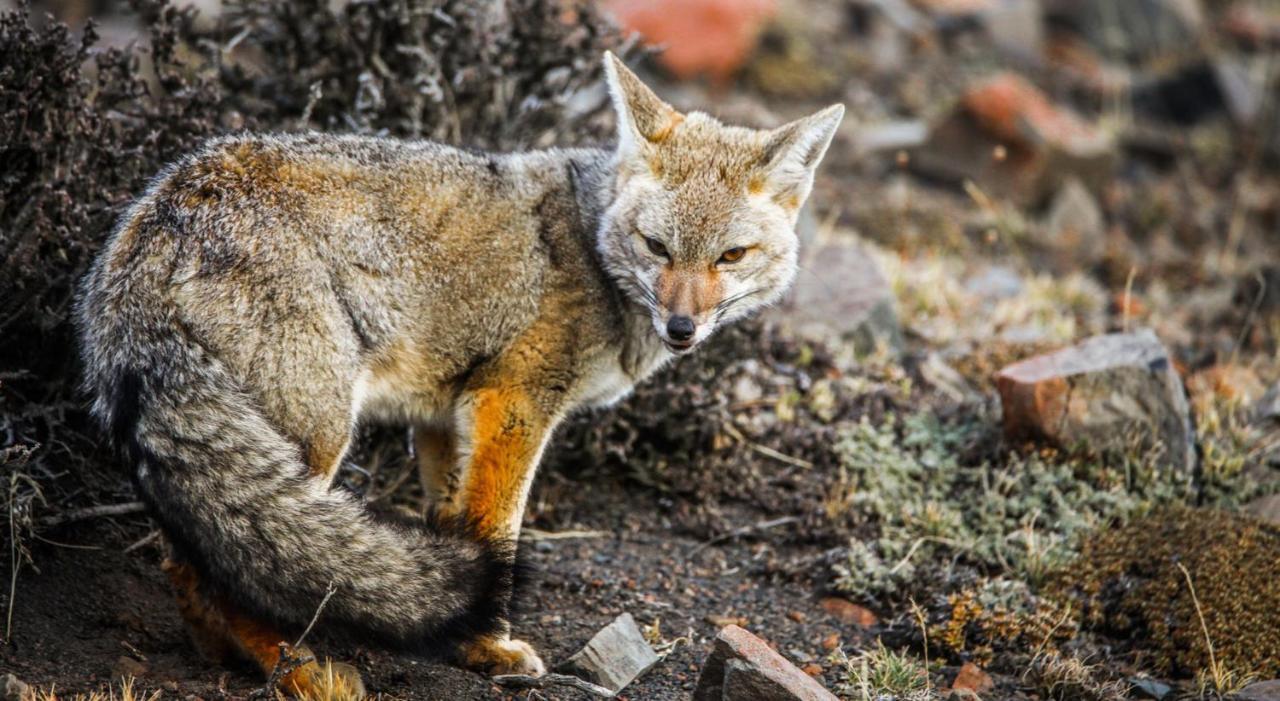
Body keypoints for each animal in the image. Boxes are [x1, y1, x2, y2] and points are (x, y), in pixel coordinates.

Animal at [77, 54, 839, 695]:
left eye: (731, 256)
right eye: (657, 247)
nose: (682, 329)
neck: (592, 246)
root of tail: (155, 224)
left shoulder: (443, 416)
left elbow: (453, 522)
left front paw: (460, 639)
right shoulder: (514, 403)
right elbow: (496, 530)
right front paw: (489, 646)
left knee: (191, 558)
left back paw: (218, 651)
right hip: (316, 435)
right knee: (239, 563)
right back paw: (295, 669)